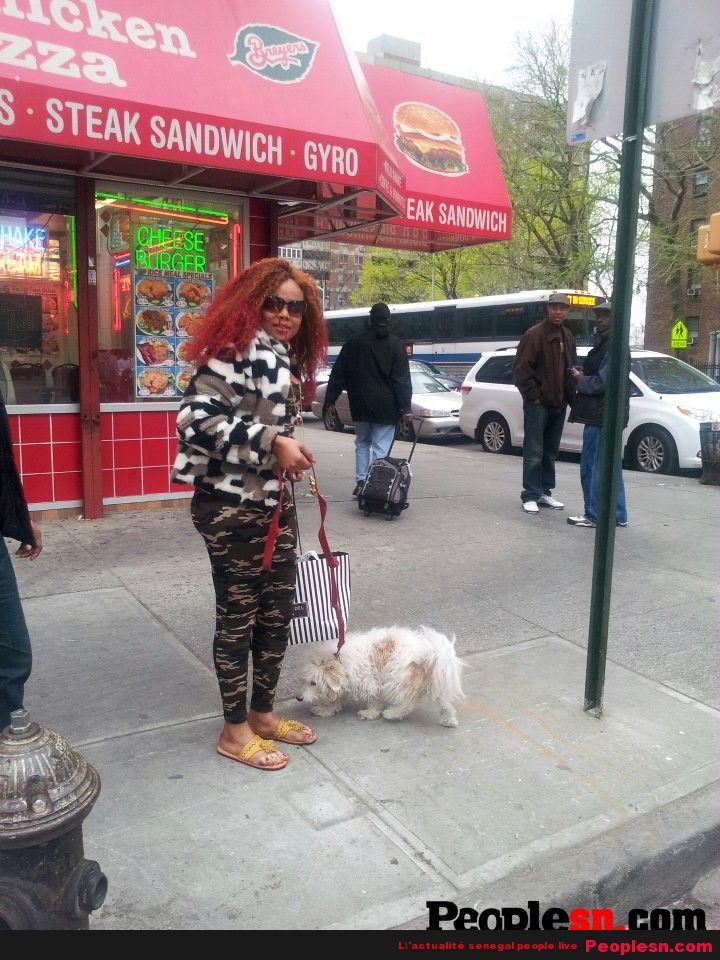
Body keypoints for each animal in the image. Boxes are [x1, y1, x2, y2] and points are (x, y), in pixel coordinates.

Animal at [296, 624, 464, 728]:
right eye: (303, 680)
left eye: (313, 683)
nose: (298, 698)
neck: (340, 660)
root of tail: (429, 650)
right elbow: (336, 699)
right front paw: (326, 709)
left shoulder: (369, 681)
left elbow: (373, 700)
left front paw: (369, 713)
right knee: (444, 703)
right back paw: (449, 720)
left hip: (395, 678)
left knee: (407, 702)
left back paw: (393, 713)